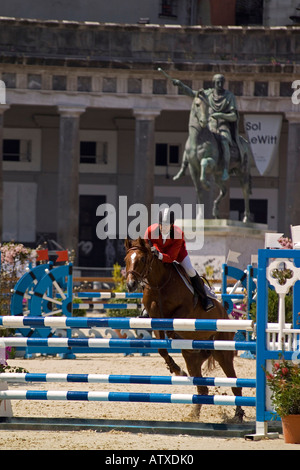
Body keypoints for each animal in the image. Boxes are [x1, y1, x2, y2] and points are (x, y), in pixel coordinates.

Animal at [124, 237, 244, 424]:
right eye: (126, 260)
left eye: (142, 259)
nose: (131, 284)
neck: (159, 283)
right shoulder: (154, 317)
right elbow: (161, 348)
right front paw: (176, 369)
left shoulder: (185, 311)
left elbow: (174, 320)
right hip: (192, 357)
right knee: (202, 388)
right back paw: (193, 415)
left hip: (223, 352)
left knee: (234, 384)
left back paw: (238, 415)